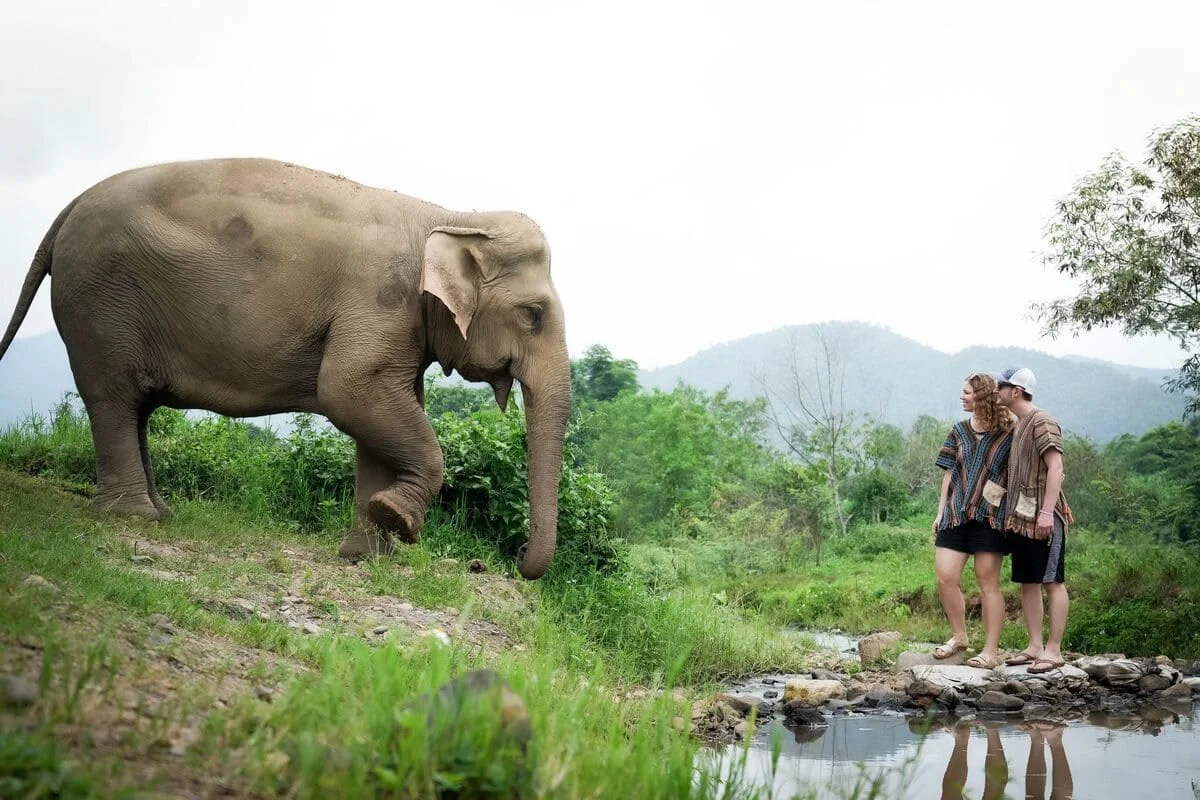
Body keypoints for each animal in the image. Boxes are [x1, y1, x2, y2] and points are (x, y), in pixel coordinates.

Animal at [0, 158, 571, 579]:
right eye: (534, 314)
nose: (511, 563)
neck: (452, 214)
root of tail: (68, 209)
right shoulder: (379, 301)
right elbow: (349, 392)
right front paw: (395, 521)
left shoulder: (399, 323)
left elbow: (378, 413)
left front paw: (367, 554)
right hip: (100, 301)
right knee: (114, 396)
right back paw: (132, 517)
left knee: (134, 404)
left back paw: (158, 513)